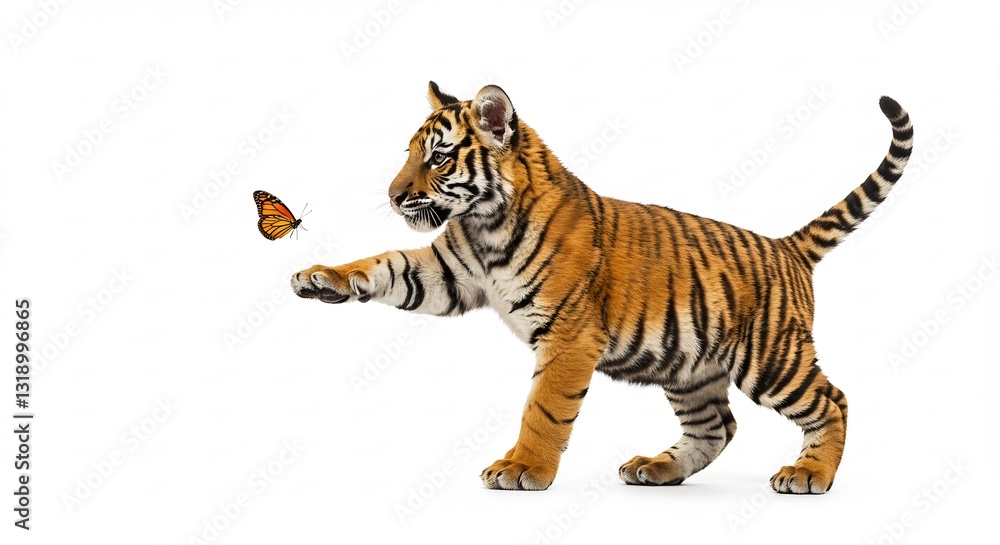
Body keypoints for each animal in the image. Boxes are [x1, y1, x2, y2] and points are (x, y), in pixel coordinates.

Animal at [291, 82, 913, 493]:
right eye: (408, 156)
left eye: (439, 158)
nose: (394, 196)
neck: (485, 223)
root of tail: (786, 246)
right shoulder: (447, 275)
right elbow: (384, 265)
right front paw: (319, 277)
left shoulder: (568, 334)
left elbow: (544, 408)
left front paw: (522, 468)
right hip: (690, 367)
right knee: (717, 426)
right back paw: (657, 468)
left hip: (771, 358)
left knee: (833, 400)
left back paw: (809, 474)